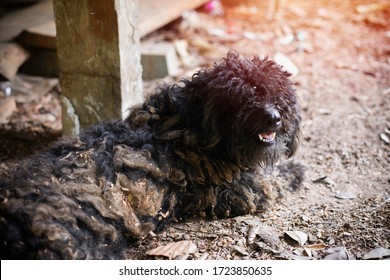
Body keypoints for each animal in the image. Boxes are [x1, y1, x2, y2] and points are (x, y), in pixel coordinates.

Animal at [0, 52, 304, 258]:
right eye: (242, 94)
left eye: (275, 93)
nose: (273, 117)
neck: (191, 122)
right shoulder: (239, 191)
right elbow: (275, 179)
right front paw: (296, 171)